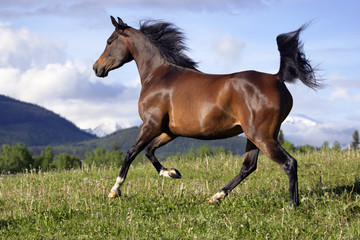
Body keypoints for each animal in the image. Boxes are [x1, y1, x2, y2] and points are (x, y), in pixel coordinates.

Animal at [93, 15, 320, 206]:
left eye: (110, 41)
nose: (97, 68)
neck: (158, 75)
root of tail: (277, 78)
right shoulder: (170, 131)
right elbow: (150, 151)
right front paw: (173, 173)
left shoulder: (151, 125)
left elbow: (131, 153)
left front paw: (114, 191)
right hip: (253, 136)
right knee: (248, 166)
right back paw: (216, 196)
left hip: (262, 136)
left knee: (289, 163)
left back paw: (291, 206)